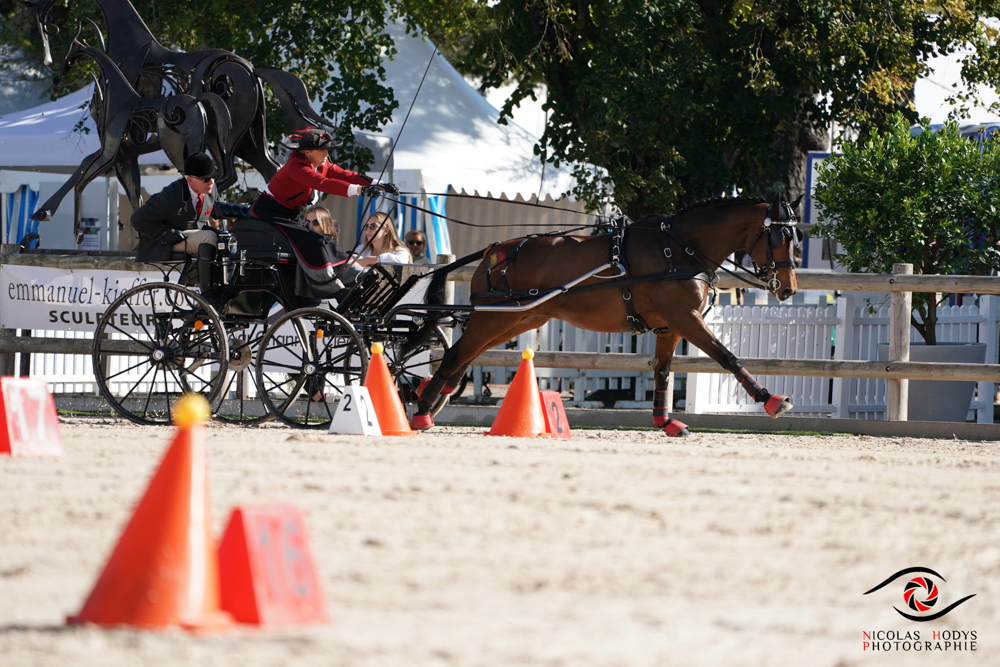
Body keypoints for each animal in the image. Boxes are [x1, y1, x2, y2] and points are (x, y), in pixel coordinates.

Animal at [410, 193, 800, 436]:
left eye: (795, 237)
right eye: (779, 236)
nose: (788, 288)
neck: (678, 249)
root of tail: (494, 252)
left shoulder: (670, 326)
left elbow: (662, 372)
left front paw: (665, 422)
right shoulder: (686, 317)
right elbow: (726, 356)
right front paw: (772, 401)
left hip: (520, 318)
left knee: (462, 357)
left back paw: (427, 397)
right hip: (496, 317)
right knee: (457, 355)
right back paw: (421, 413)